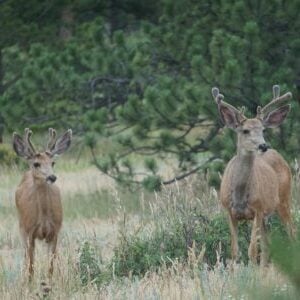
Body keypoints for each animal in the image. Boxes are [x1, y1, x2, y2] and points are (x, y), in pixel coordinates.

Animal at [12, 127, 72, 280]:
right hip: (21, 227)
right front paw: (30, 284)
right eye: (36, 164)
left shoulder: (55, 231)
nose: (52, 177)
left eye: (53, 163)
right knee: (25, 257)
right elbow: (31, 266)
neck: (43, 217)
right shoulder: (29, 232)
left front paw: (48, 283)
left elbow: (50, 266)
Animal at [212, 84, 294, 264]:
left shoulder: (258, 209)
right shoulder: (229, 211)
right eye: (245, 131)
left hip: (284, 199)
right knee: (267, 245)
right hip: (266, 216)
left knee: (291, 233)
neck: (240, 196)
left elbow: (252, 251)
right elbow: (235, 251)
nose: (263, 146)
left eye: (263, 129)